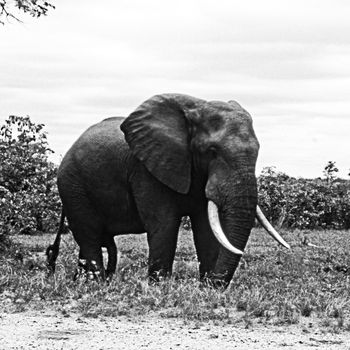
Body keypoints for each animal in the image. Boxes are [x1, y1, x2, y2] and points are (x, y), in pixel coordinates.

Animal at [46, 92, 288, 288]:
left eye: (257, 150)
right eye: (212, 151)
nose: (214, 283)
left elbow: (205, 228)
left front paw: (206, 287)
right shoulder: (147, 168)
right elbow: (164, 223)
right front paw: (159, 287)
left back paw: (85, 281)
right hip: (72, 185)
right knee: (90, 236)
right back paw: (96, 283)